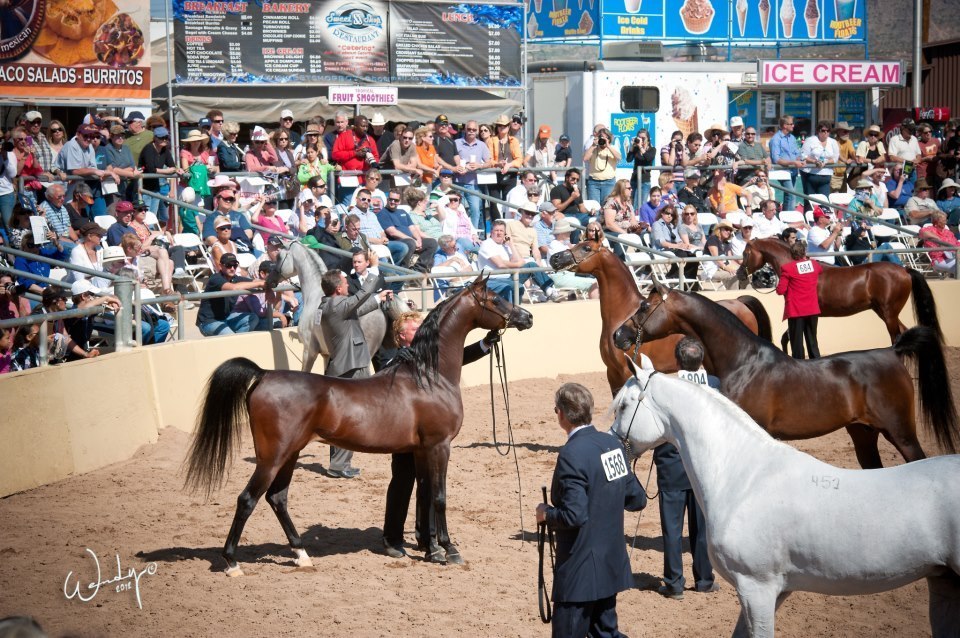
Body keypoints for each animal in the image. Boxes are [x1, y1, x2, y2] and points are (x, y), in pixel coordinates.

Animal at [184, 276, 533, 575]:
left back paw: (301, 555)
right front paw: (449, 550)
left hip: (290, 454)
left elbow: (423, 497)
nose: (526, 317)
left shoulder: (421, 450)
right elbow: (439, 497)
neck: (428, 377)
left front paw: (430, 548)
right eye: (496, 299)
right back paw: (232, 562)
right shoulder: (439, 446)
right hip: (272, 457)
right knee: (248, 499)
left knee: (277, 498)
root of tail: (264, 374)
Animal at [548, 233, 772, 394]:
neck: (622, 313)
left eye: (586, 247)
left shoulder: (625, 372)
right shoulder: (612, 374)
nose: (554, 258)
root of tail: (739, 301)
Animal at [610, 359, 960, 638]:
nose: (614, 446)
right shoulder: (773, 592)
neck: (745, 478)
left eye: (624, 406)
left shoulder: (758, 589)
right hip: (944, 583)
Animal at [612, 281, 959, 468]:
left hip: (901, 432)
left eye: (644, 307)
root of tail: (893, 351)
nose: (619, 335)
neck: (743, 362)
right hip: (863, 433)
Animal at [739, 237, 943, 345]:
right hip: (884, 312)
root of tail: (905, 270)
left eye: (745, 253)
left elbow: (786, 339)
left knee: (896, 337)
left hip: (888, 314)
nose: (740, 273)